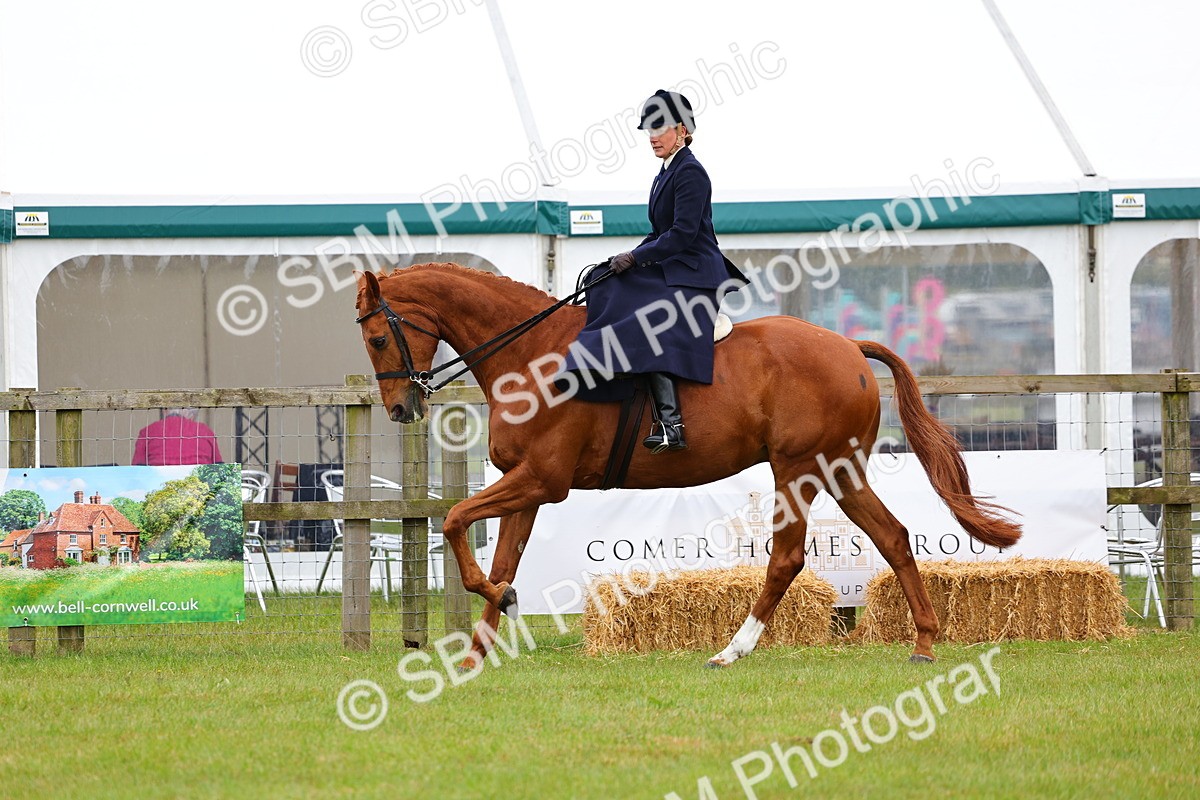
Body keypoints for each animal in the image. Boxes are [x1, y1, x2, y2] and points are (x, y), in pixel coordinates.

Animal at [354, 263, 1022, 668]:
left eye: (379, 339)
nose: (400, 408)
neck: (532, 355)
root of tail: (849, 347)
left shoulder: (543, 480)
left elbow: (454, 523)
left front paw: (501, 606)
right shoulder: (530, 486)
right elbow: (498, 557)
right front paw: (478, 650)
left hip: (798, 469)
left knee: (787, 558)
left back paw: (733, 650)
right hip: (839, 469)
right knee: (894, 537)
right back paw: (925, 643)